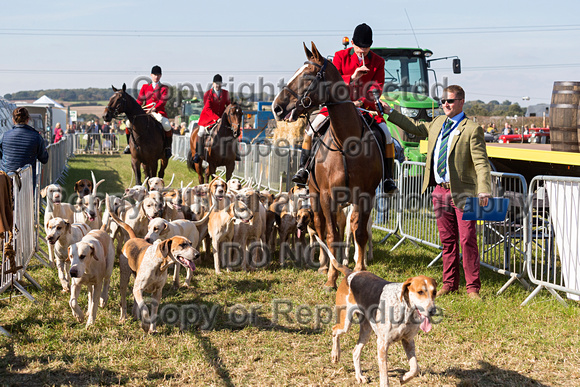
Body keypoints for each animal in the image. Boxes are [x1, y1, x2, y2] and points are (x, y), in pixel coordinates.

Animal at [274, 42, 386, 292]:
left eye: (307, 76)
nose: (277, 107)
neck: (346, 143)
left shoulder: (365, 195)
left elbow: (359, 234)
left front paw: (359, 271)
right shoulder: (326, 196)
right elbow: (331, 236)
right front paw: (331, 279)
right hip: (316, 196)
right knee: (321, 227)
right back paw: (326, 266)